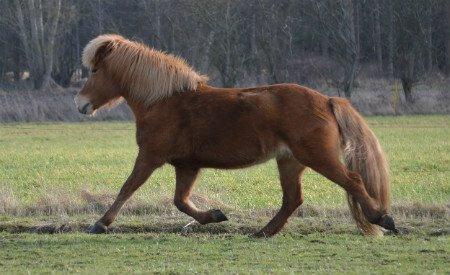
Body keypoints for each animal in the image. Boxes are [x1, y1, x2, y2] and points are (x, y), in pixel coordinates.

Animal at [74, 34, 398, 237]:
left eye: (95, 70)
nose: (80, 103)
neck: (164, 100)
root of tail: (328, 101)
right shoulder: (187, 165)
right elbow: (180, 201)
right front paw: (214, 216)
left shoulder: (150, 156)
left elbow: (127, 188)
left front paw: (100, 223)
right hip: (290, 162)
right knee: (292, 199)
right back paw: (263, 232)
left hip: (318, 157)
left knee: (352, 181)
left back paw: (382, 218)